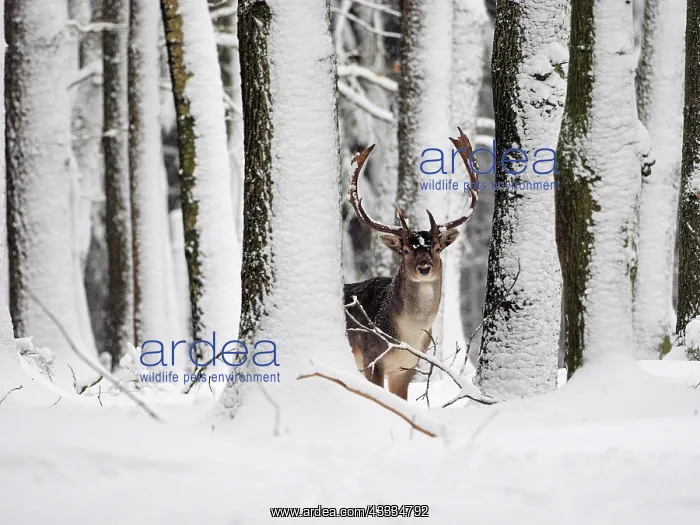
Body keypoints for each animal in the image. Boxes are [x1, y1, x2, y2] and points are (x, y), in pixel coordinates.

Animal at [344, 128, 480, 400]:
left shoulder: (407, 367)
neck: (406, 337)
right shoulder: (372, 358)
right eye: (405, 250)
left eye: (437, 248)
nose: (424, 267)